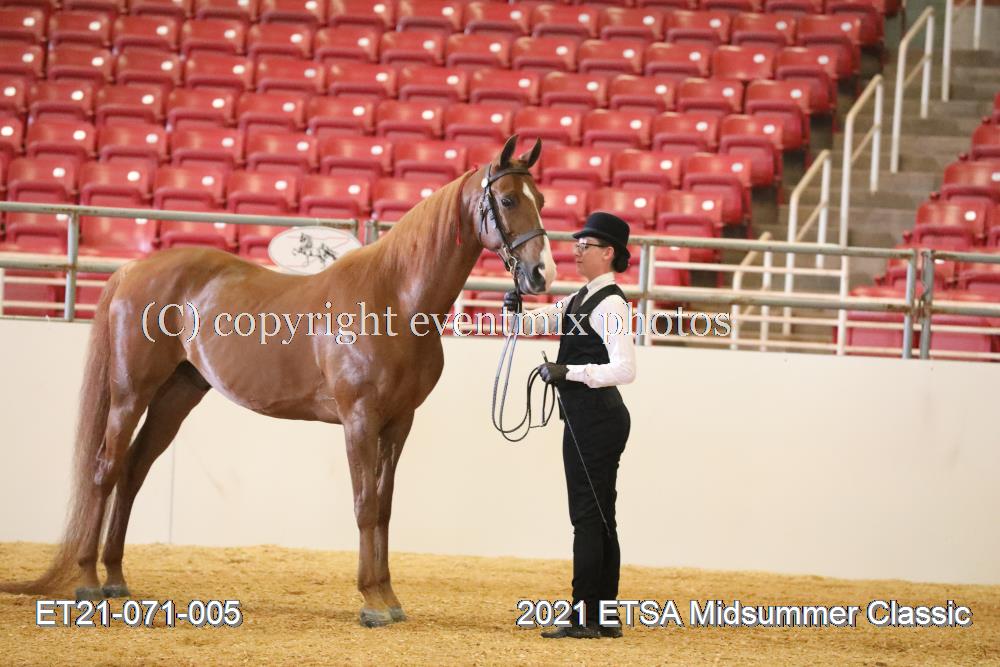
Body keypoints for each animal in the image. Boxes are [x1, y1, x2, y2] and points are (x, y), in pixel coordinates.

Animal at [0, 135, 555, 628]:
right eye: (508, 199)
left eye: (542, 200)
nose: (541, 274)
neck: (394, 297)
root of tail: (133, 268)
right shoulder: (359, 420)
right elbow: (365, 505)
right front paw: (372, 602)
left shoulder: (399, 422)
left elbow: (385, 507)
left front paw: (389, 597)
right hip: (130, 393)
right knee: (106, 470)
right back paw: (89, 582)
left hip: (176, 395)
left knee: (134, 471)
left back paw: (116, 578)